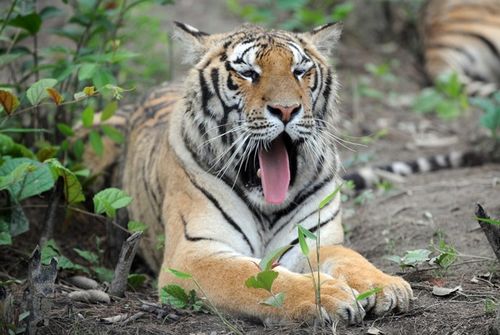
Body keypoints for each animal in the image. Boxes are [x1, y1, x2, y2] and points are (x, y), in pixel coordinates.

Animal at [101, 21, 414, 326]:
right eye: (248, 73)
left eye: (300, 71)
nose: (286, 110)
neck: (267, 206)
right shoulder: (193, 253)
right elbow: (256, 278)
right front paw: (326, 295)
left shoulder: (313, 239)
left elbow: (351, 258)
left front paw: (384, 285)